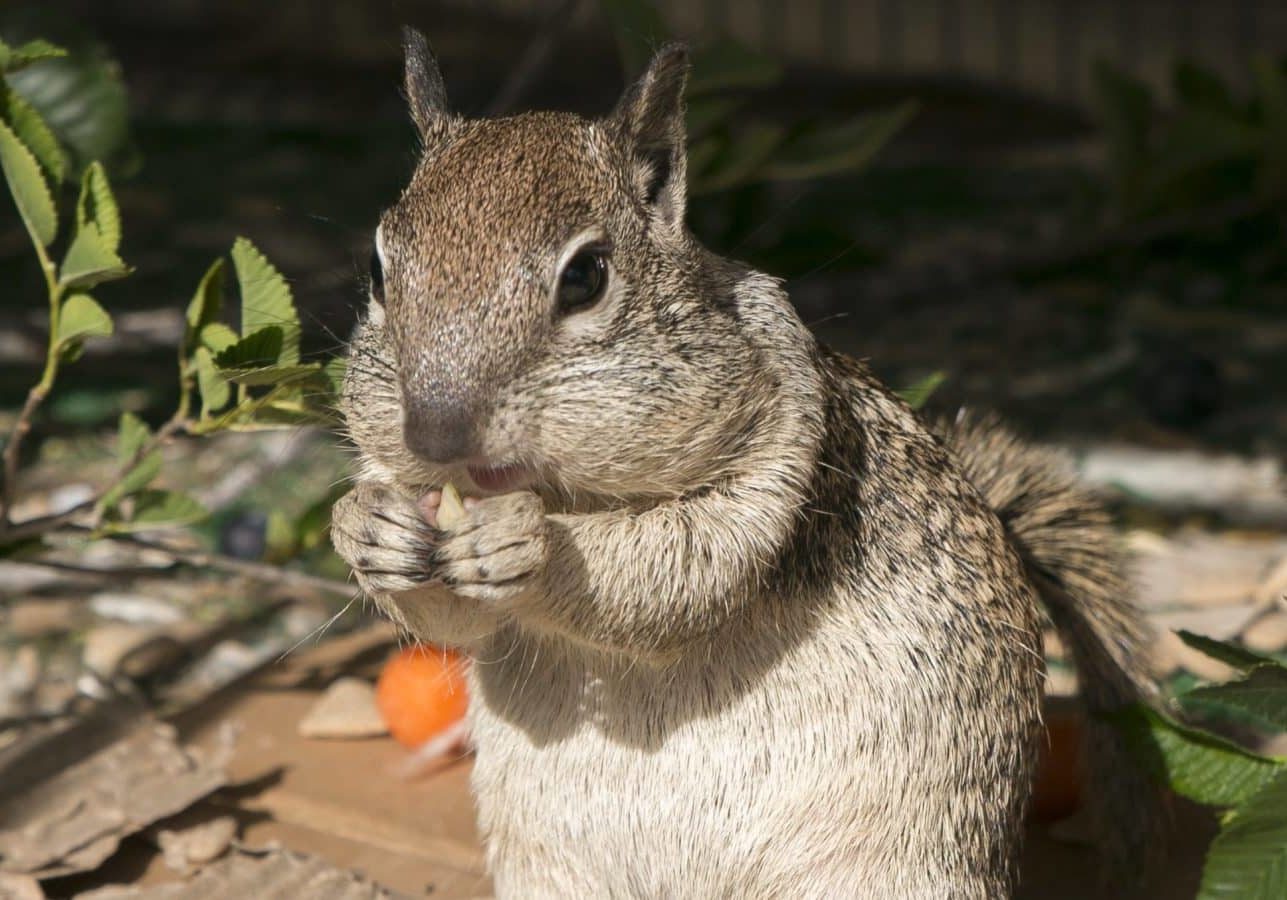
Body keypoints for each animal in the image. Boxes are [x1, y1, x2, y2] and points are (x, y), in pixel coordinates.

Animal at [331, 28, 1163, 899]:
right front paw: (367, 527)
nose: (435, 435)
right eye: (378, 269)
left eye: (586, 276)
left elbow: (681, 567)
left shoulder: (782, 464)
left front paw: (529, 545)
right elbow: (453, 621)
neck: (572, 493)